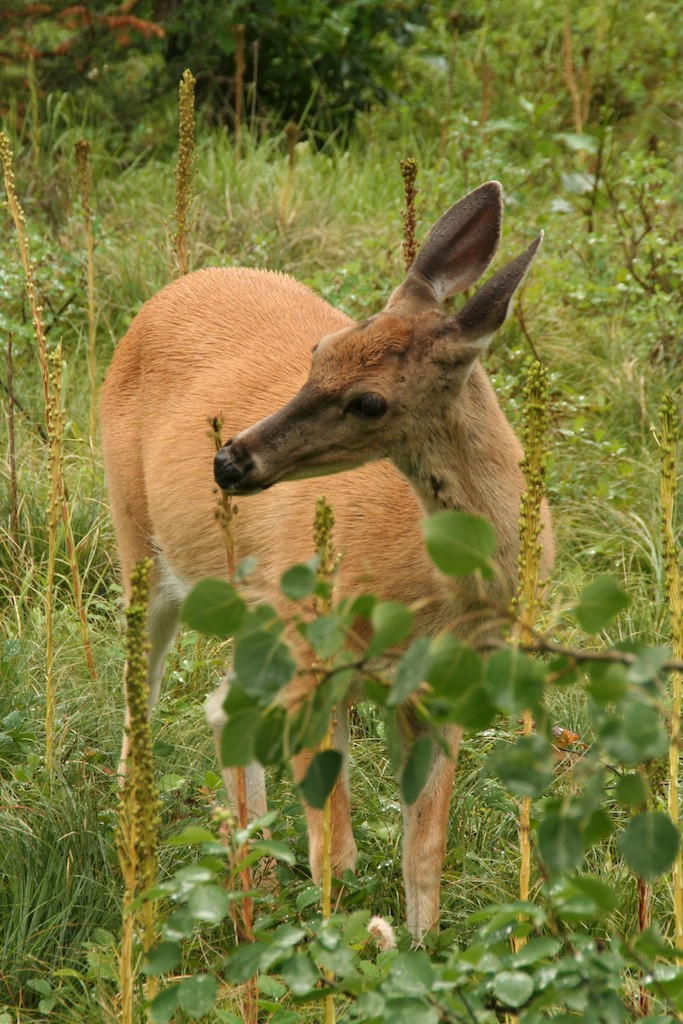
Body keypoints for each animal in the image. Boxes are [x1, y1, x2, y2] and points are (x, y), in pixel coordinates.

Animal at [101, 180, 557, 937]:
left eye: (370, 401)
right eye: (319, 350)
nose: (230, 460)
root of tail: (175, 285)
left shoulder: (444, 684)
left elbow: (424, 849)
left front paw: (418, 947)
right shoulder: (312, 654)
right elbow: (334, 848)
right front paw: (335, 946)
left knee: (221, 705)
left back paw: (246, 897)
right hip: (139, 539)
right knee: (148, 694)